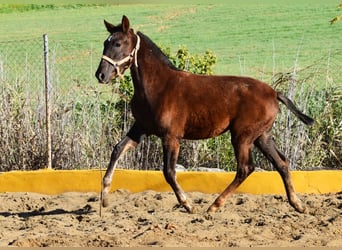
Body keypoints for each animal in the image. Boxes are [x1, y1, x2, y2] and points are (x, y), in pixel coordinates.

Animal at [95, 15, 314, 214]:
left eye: (117, 43)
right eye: (105, 43)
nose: (101, 75)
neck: (157, 87)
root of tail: (274, 93)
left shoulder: (171, 136)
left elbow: (168, 172)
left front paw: (188, 204)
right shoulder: (140, 128)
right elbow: (117, 149)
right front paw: (104, 197)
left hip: (242, 136)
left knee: (245, 168)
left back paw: (214, 206)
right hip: (262, 136)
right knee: (281, 163)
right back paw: (297, 204)